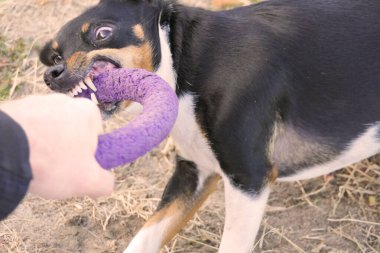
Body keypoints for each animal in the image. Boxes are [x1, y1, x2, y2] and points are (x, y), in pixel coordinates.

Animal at [39, 0, 380, 252]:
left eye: (102, 33)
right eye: (55, 56)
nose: (52, 74)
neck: (183, 62)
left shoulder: (248, 180)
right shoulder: (195, 174)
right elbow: (144, 238)